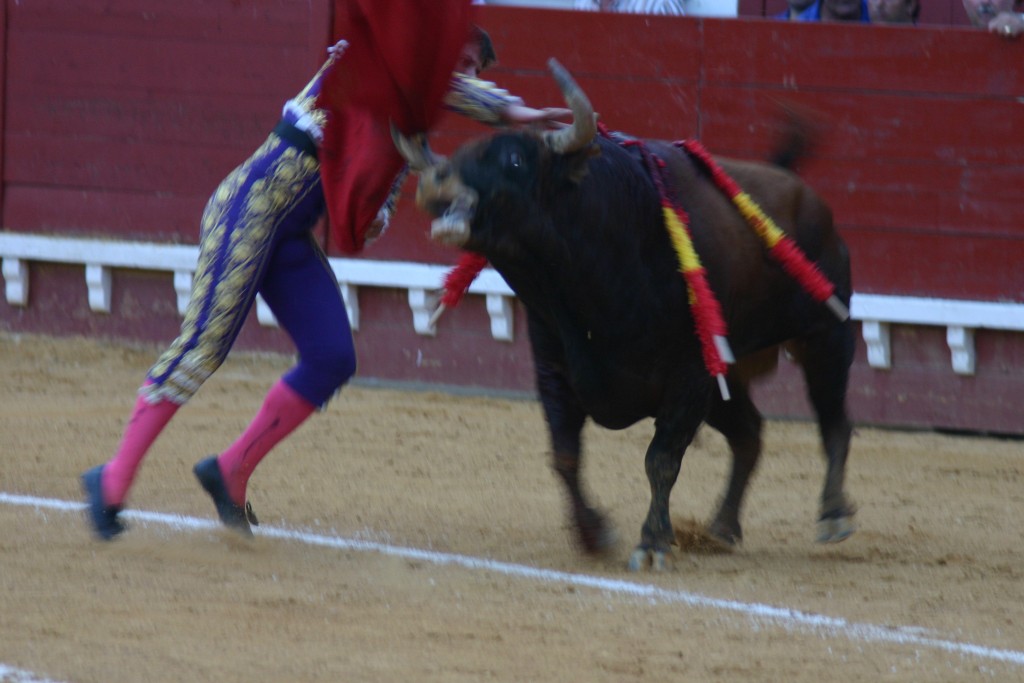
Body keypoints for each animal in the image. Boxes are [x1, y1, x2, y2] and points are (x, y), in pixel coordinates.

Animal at [395, 60, 851, 573]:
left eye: (514, 161)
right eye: (462, 152)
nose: (436, 180)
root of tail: (807, 199)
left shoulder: (690, 376)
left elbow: (661, 460)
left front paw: (651, 543)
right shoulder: (554, 370)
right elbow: (565, 455)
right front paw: (594, 534)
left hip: (825, 338)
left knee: (833, 420)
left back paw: (833, 515)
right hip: (728, 378)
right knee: (749, 435)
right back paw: (721, 527)